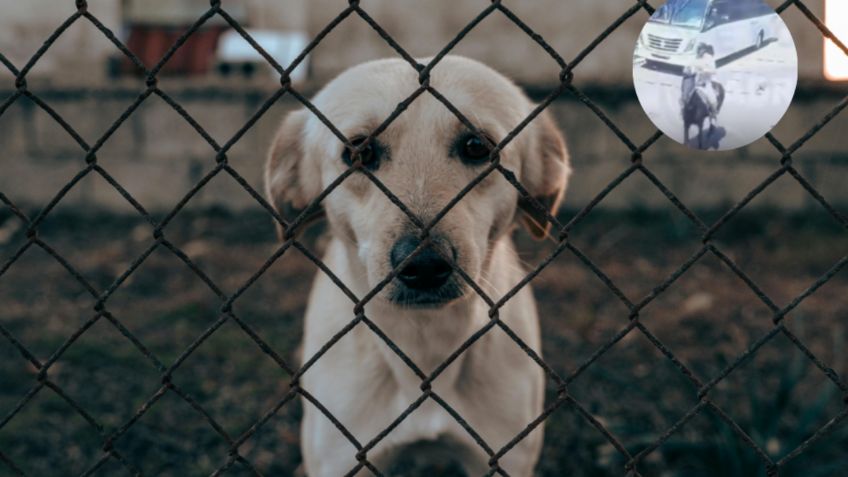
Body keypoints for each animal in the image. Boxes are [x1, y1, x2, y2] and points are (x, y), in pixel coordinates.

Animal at [264, 56, 568, 476]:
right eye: (359, 153)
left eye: (477, 146)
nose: (423, 265)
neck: (425, 347)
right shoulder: (344, 458)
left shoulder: (503, 458)